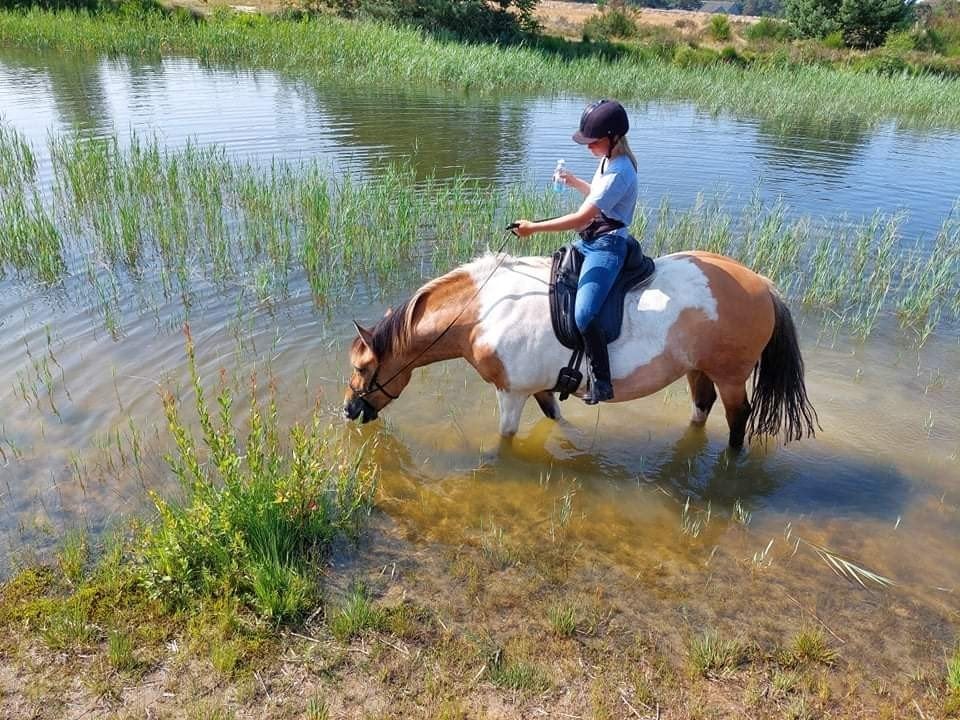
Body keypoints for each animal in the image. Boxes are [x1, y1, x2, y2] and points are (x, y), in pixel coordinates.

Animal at [344, 250, 818, 449]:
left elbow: (505, 438)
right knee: (702, 407)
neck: (485, 311)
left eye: (363, 368)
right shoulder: (538, 386)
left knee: (739, 418)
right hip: (697, 370)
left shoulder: (510, 392)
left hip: (730, 375)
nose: (348, 410)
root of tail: (764, 286)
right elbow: (556, 416)